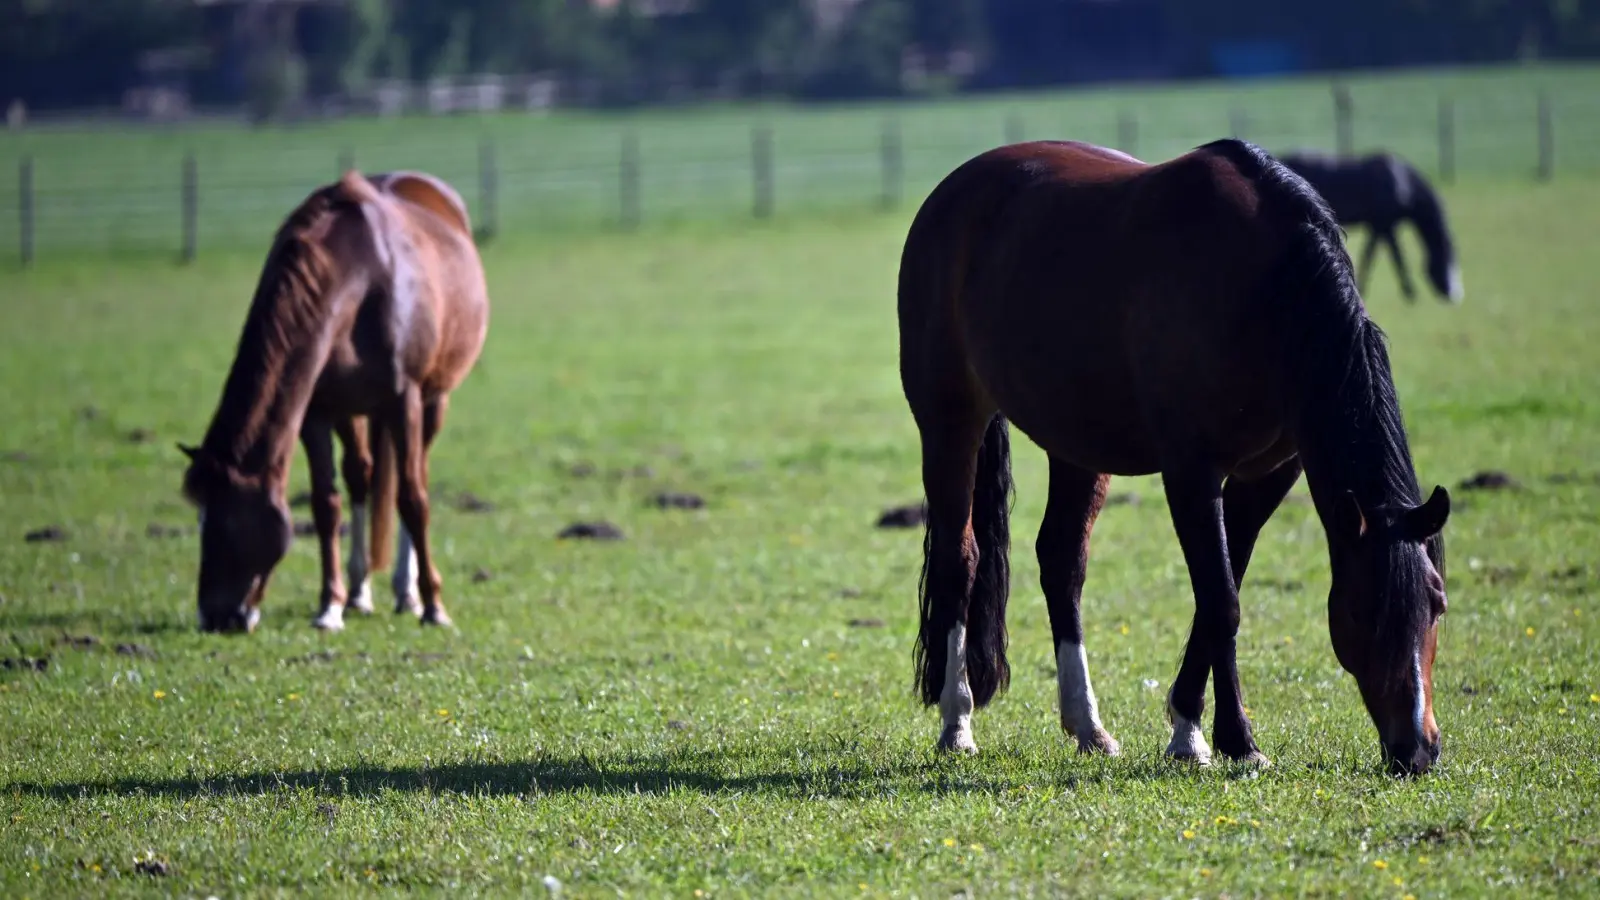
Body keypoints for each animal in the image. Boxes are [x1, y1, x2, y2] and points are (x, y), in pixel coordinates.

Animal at [176, 168, 486, 630]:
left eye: (229, 524)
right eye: (200, 520)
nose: (214, 618)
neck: (365, 277)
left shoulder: (405, 401)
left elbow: (412, 499)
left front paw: (434, 606)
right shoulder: (316, 412)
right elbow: (326, 505)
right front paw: (330, 606)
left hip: (433, 401)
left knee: (414, 478)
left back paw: (407, 592)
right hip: (352, 410)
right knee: (361, 474)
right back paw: (359, 593)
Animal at [1273, 147, 1465, 301]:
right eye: (1446, 256)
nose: (1454, 294)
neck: (1402, 184)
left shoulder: (1381, 227)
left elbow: (1377, 255)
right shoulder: (1383, 226)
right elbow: (1392, 257)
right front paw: (1409, 293)